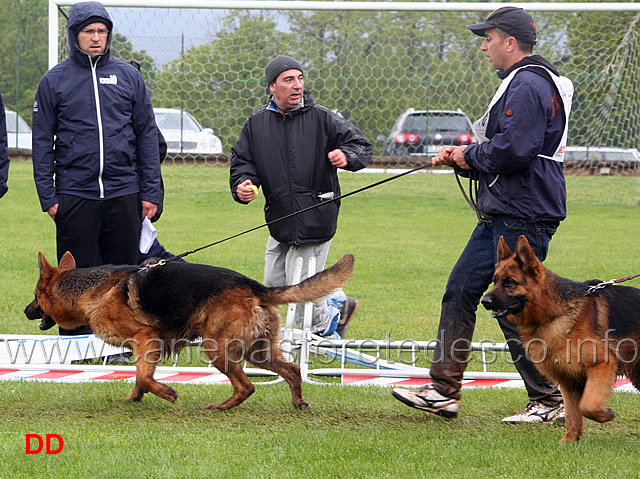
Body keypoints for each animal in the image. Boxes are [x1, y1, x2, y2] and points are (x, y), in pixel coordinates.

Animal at [26, 251, 356, 412]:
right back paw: (297, 402)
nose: (26, 310)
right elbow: (139, 378)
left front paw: (165, 392)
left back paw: (221, 407)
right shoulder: (144, 347)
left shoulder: (147, 339)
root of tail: (255, 287)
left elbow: (144, 376)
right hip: (258, 352)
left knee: (246, 386)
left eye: (35, 295)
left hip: (217, 349)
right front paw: (134, 399)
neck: (91, 291)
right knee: (291, 370)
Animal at [482, 235, 640, 442]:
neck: (555, 311)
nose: (484, 302)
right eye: (495, 281)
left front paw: (604, 415)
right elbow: (573, 414)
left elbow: (587, 405)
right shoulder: (568, 380)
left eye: (509, 282)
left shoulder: (601, 366)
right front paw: (569, 440)